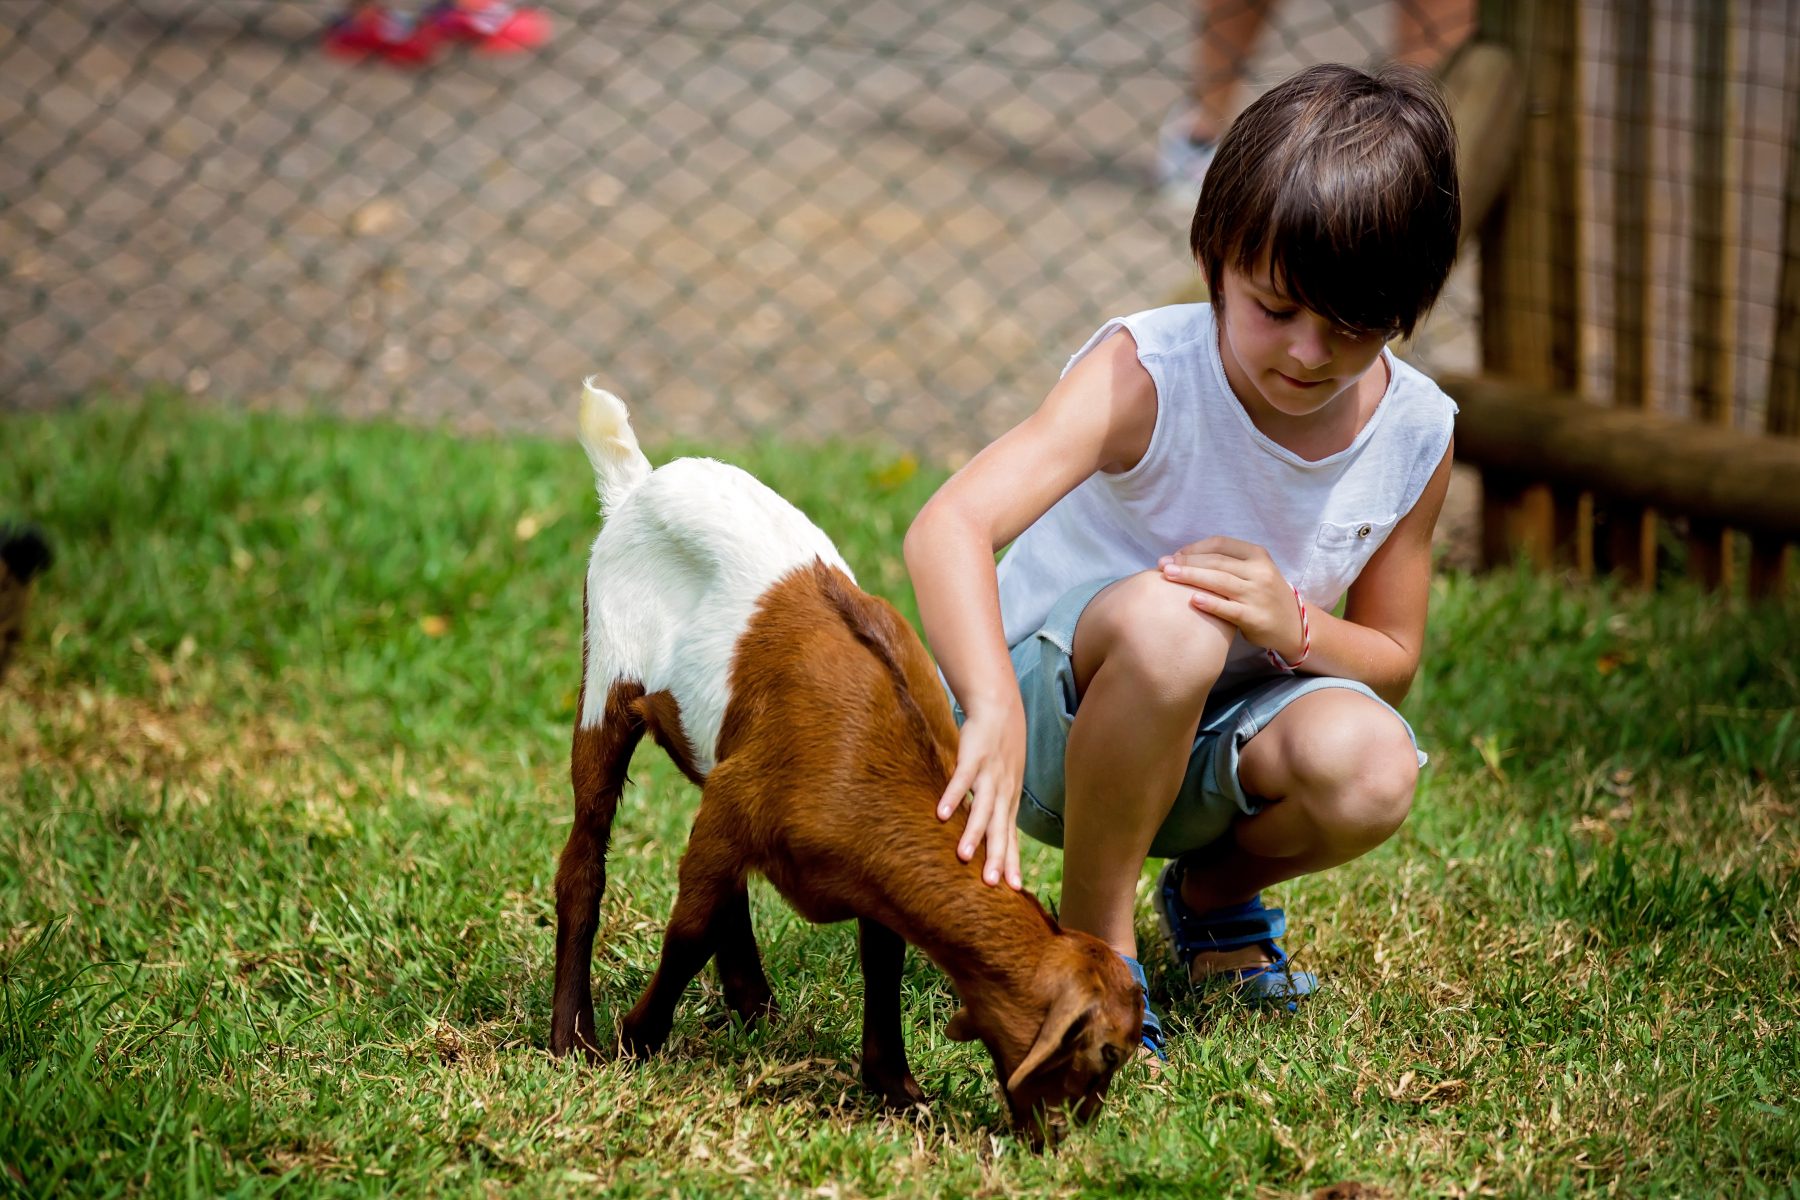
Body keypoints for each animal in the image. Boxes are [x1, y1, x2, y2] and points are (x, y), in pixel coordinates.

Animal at [550, 386, 1137, 1144]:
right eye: (1104, 1054)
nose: (1067, 1138)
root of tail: (635, 485)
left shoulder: (840, 856)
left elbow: (879, 958)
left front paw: (896, 1089)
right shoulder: (738, 805)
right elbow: (686, 931)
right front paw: (637, 1041)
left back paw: (754, 1006)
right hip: (607, 671)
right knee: (585, 853)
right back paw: (573, 1036)